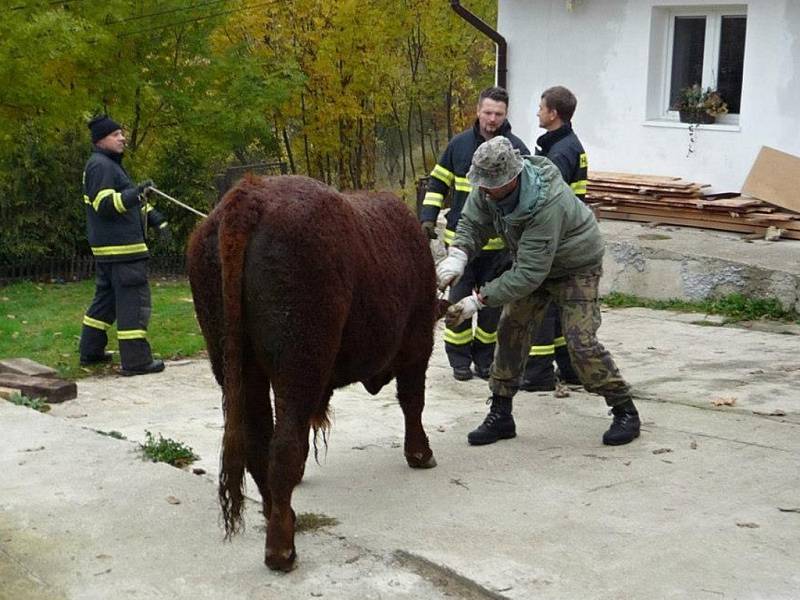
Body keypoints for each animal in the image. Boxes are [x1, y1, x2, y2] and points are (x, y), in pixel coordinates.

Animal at [185, 175, 440, 572]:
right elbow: (412, 401)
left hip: (241, 366)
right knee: (283, 446)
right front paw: (420, 453)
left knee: (260, 442)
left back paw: (280, 516)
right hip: (299, 362)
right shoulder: (418, 342)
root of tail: (251, 194)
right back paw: (281, 549)